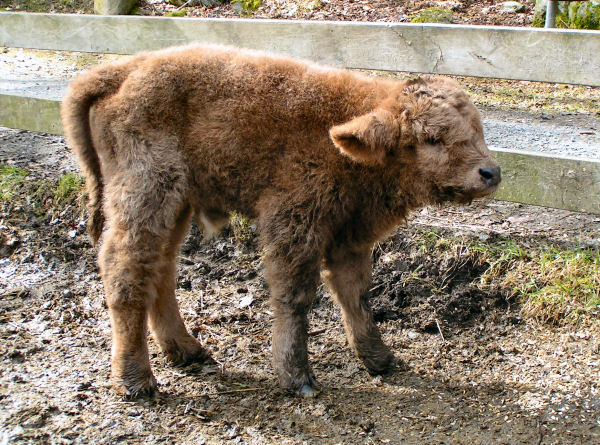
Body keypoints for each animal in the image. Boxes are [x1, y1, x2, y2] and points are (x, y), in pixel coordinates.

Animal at [61, 45, 502, 398]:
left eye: (477, 129)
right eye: (431, 139)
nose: (491, 172)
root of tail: (124, 69)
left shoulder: (350, 236)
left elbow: (355, 294)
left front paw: (380, 359)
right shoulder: (293, 223)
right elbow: (295, 296)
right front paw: (297, 376)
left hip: (176, 204)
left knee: (161, 270)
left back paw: (186, 350)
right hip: (145, 194)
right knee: (126, 271)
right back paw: (136, 381)